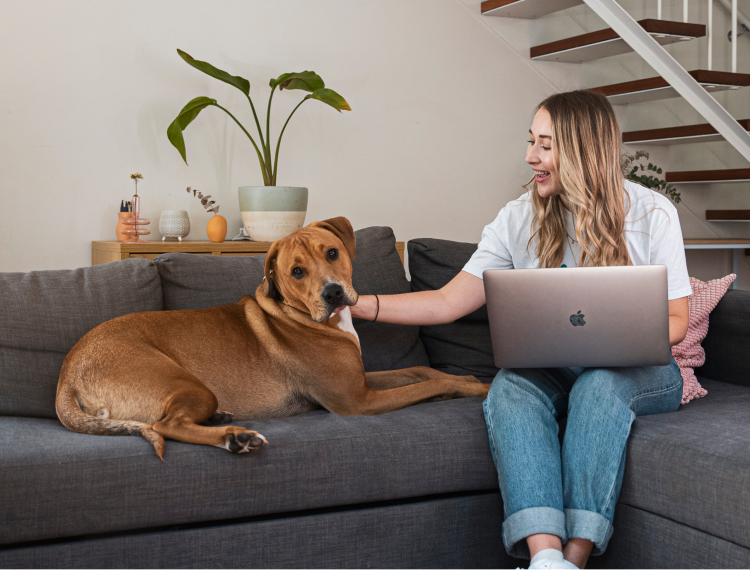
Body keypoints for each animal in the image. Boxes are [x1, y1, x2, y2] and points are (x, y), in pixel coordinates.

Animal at [58, 217, 494, 458]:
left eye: (332, 253)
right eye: (297, 272)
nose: (333, 294)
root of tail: (68, 370)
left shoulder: (361, 381)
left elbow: (422, 371)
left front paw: (463, 376)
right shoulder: (358, 401)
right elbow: (428, 384)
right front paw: (478, 386)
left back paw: (226, 425)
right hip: (187, 384)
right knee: (168, 426)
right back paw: (236, 439)